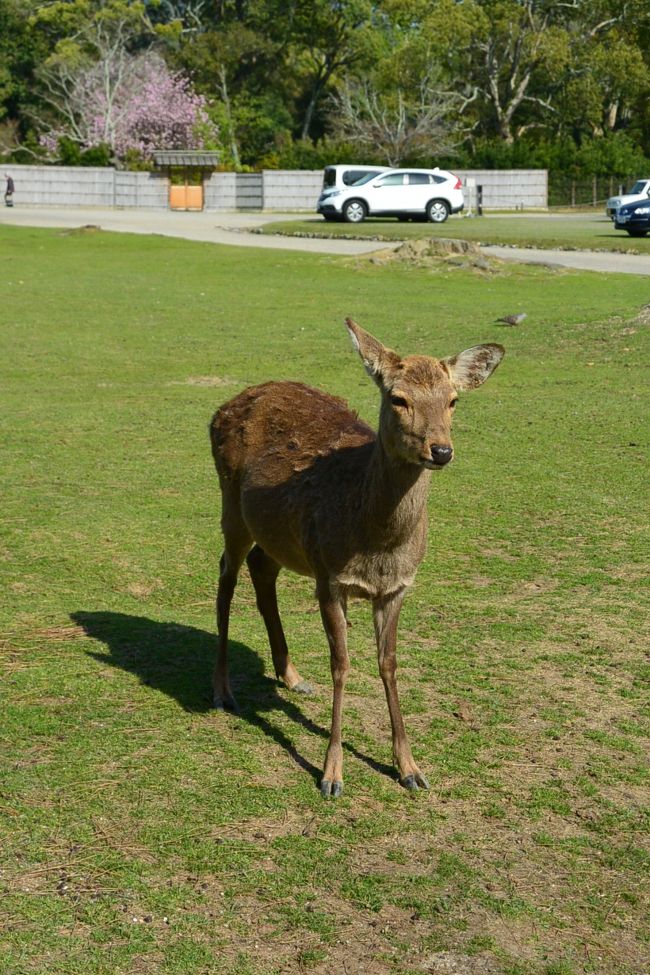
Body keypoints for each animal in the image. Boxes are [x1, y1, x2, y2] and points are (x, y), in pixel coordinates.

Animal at [209, 319, 504, 797]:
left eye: (453, 400)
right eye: (397, 398)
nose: (441, 450)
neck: (378, 546)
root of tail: (223, 407)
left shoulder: (398, 587)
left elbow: (389, 664)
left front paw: (410, 768)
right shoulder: (330, 578)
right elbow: (342, 665)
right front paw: (332, 774)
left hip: (279, 535)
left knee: (261, 566)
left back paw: (292, 676)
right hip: (231, 503)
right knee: (225, 575)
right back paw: (222, 691)